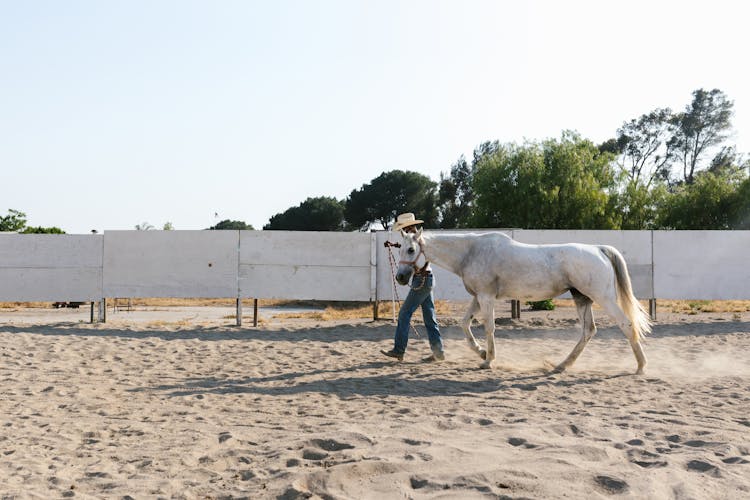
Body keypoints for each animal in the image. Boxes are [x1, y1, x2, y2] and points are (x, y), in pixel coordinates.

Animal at [400, 229, 652, 374]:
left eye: (411, 249)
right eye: (400, 248)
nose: (400, 277)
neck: (471, 252)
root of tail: (599, 249)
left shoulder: (486, 298)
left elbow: (489, 328)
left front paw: (488, 361)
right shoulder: (478, 297)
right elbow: (465, 324)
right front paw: (481, 353)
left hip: (603, 297)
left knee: (625, 324)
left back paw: (641, 366)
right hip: (582, 299)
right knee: (588, 331)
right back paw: (561, 365)